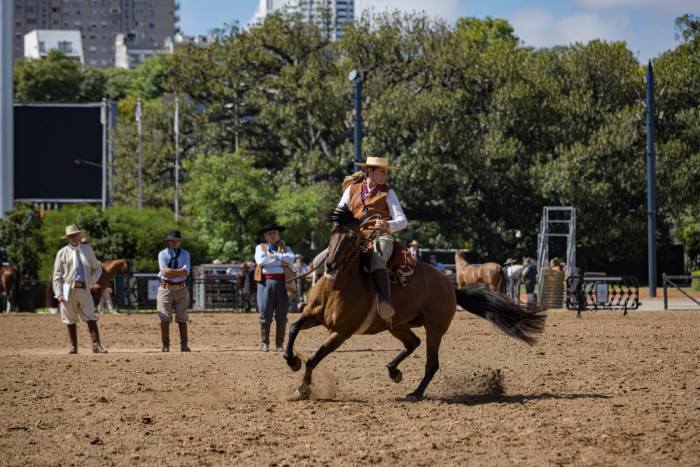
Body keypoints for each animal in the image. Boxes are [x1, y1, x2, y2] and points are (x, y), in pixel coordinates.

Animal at [283, 206, 546, 401]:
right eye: (333, 233)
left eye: (354, 236)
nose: (330, 265)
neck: (338, 286)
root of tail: (449, 285)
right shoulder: (313, 316)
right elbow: (293, 328)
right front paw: (292, 361)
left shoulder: (340, 332)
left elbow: (313, 358)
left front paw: (301, 389)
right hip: (398, 325)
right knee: (413, 343)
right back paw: (394, 371)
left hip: (435, 329)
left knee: (431, 363)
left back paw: (415, 393)